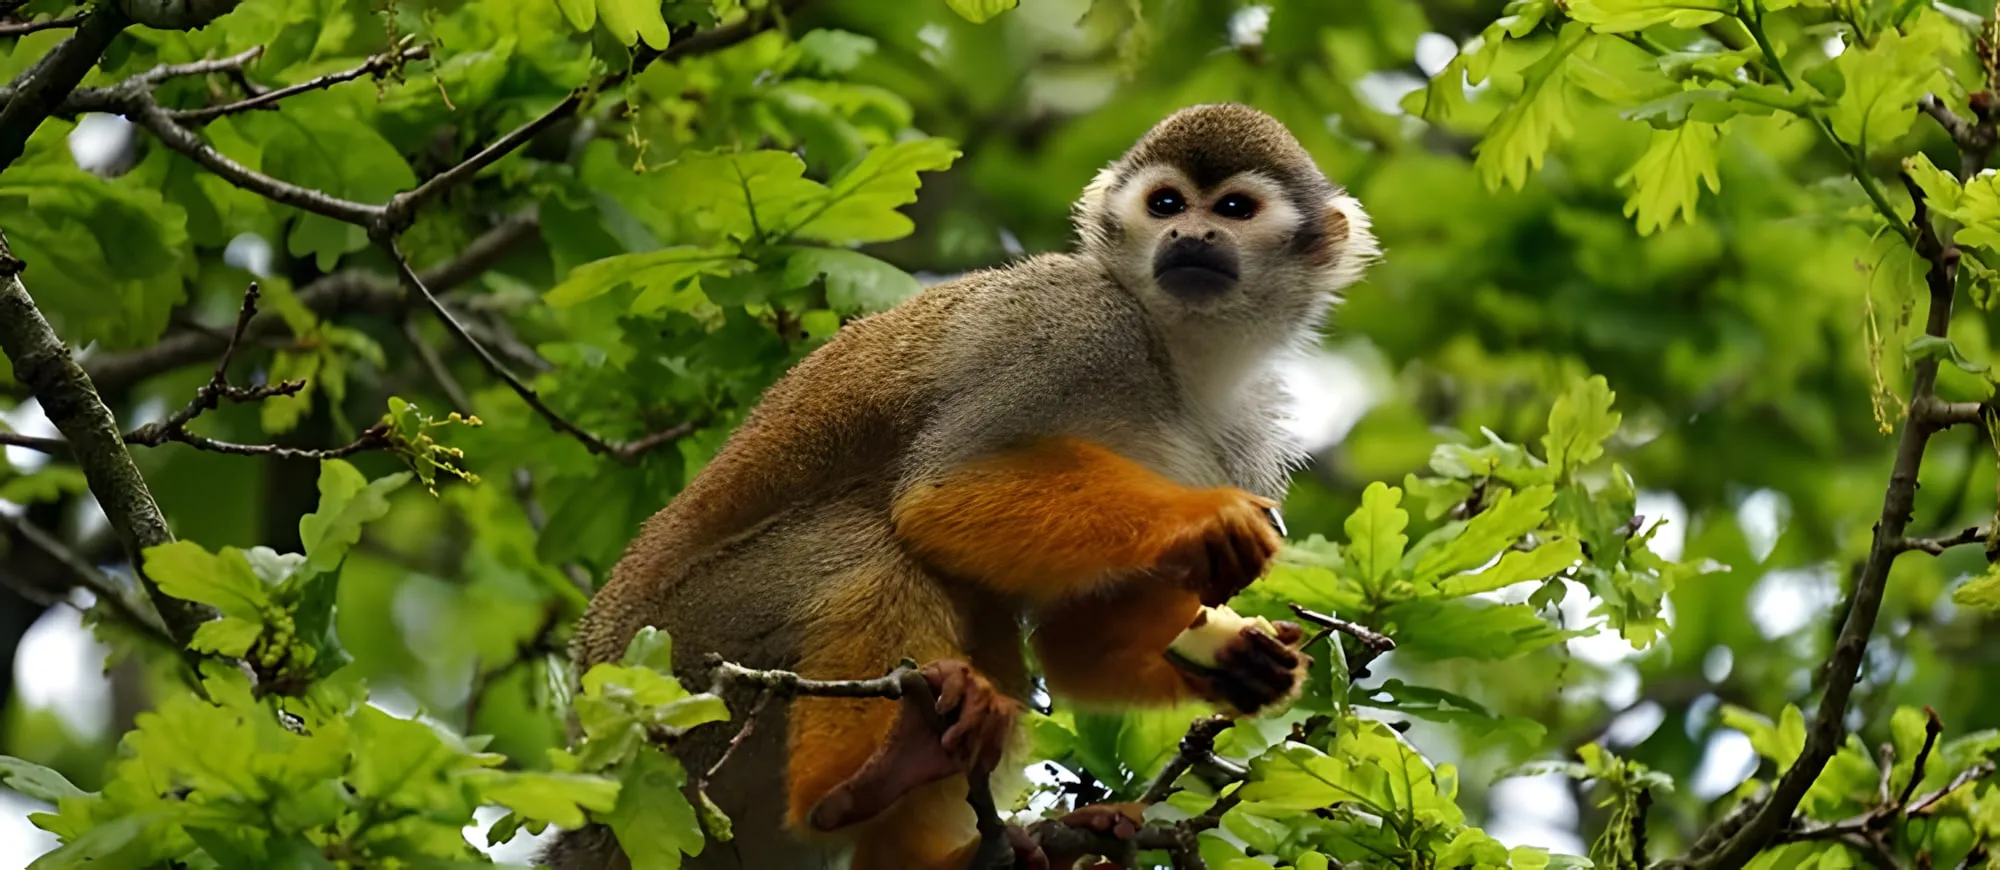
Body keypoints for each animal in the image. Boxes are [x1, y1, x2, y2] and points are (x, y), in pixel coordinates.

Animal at [541, 102, 1378, 870]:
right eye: (1167, 204)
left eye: (1233, 210)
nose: (1191, 238)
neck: (1174, 350)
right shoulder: (1071, 326)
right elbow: (937, 495)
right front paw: (1207, 519)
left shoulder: (1250, 432)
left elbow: (1072, 638)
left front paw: (1239, 662)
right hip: (681, 665)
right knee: (873, 541)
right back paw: (854, 784)